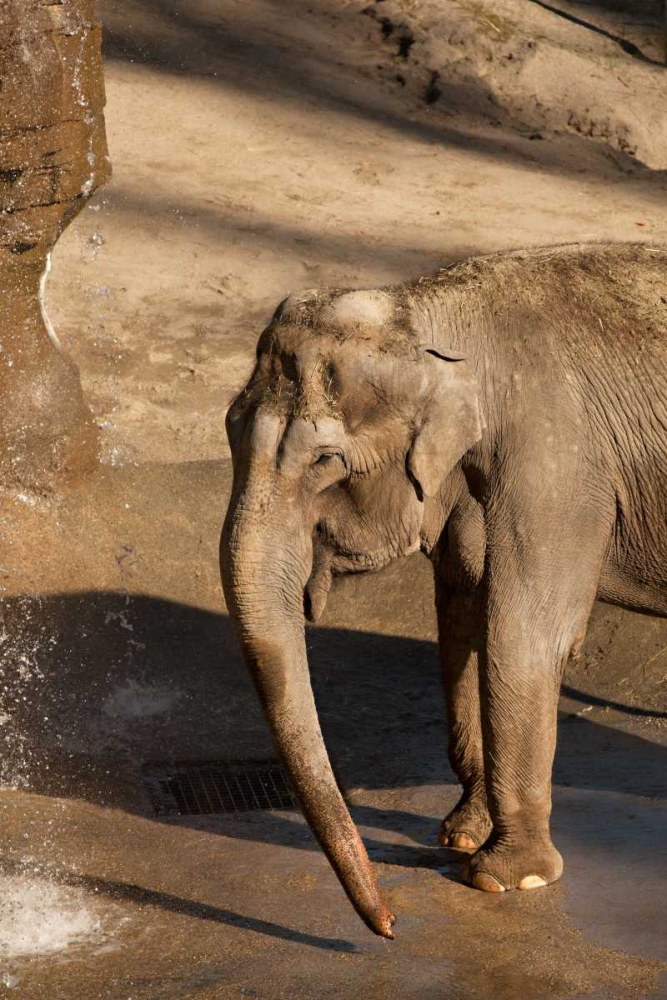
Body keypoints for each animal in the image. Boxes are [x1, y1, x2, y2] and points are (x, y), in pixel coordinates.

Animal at [220, 242, 667, 938]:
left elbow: (525, 632)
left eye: (324, 461)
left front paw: (504, 878)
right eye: (227, 430)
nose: (390, 926)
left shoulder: (557, 460)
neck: (429, 311)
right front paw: (461, 836)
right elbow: (465, 609)